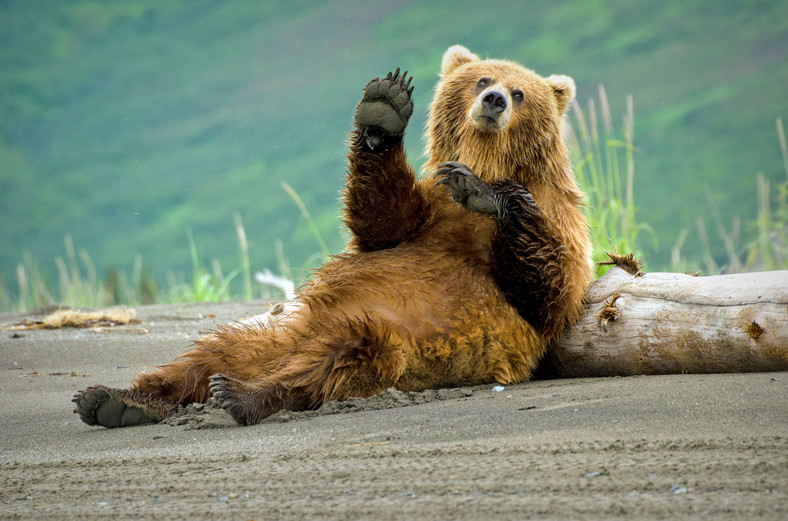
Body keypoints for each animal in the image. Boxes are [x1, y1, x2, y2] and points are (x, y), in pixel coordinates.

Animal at [72, 44, 592, 426]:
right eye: (482, 80)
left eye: (520, 92)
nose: (494, 100)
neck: (490, 160)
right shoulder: (426, 215)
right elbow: (382, 219)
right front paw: (384, 109)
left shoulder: (558, 220)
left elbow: (548, 289)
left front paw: (487, 194)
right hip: (269, 333)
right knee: (203, 354)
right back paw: (115, 399)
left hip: (388, 341)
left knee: (333, 361)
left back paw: (242, 395)